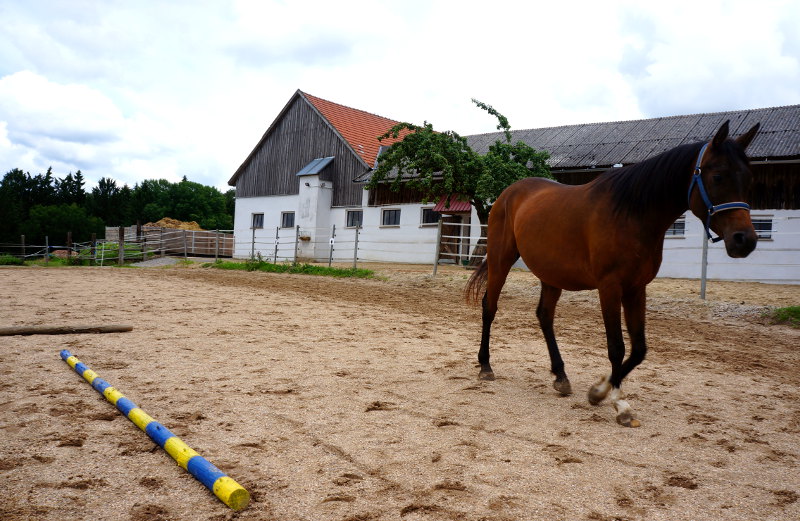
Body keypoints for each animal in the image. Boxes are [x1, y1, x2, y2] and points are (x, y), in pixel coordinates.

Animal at [466, 121, 760, 426]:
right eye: (718, 176)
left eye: (750, 180)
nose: (745, 240)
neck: (632, 214)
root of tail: (507, 194)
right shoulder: (610, 287)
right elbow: (616, 346)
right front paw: (616, 402)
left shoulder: (636, 288)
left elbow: (639, 348)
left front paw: (601, 390)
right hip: (501, 260)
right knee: (490, 306)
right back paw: (485, 365)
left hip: (551, 275)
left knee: (545, 316)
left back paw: (561, 376)